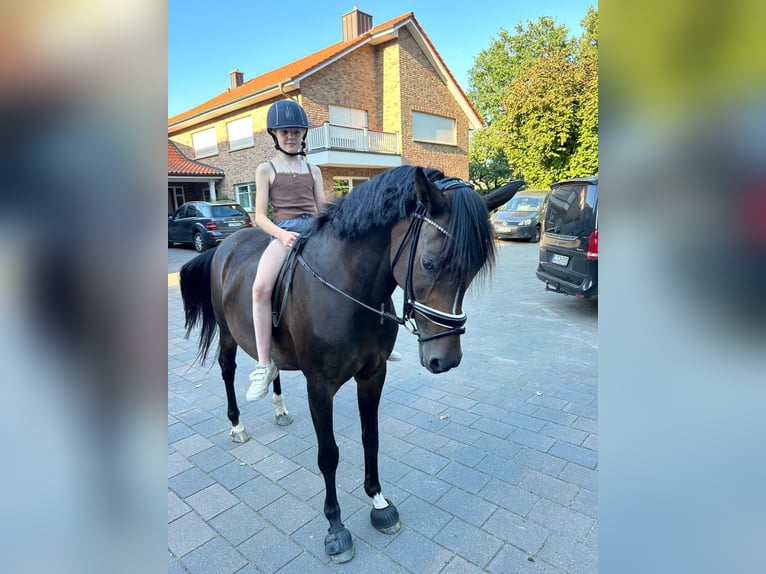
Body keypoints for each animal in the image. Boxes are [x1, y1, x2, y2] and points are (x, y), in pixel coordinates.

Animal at [179, 165, 522, 563]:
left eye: (473, 269)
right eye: (429, 263)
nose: (446, 359)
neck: (347, 289)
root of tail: (225, 246)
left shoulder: (373, 375)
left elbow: (370, 438)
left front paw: (379, 503)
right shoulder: (319, 386)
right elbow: (328, 455)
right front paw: (336, 528)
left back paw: (279, 408)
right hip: (228, 333)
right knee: (227, 369)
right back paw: (236, 424)